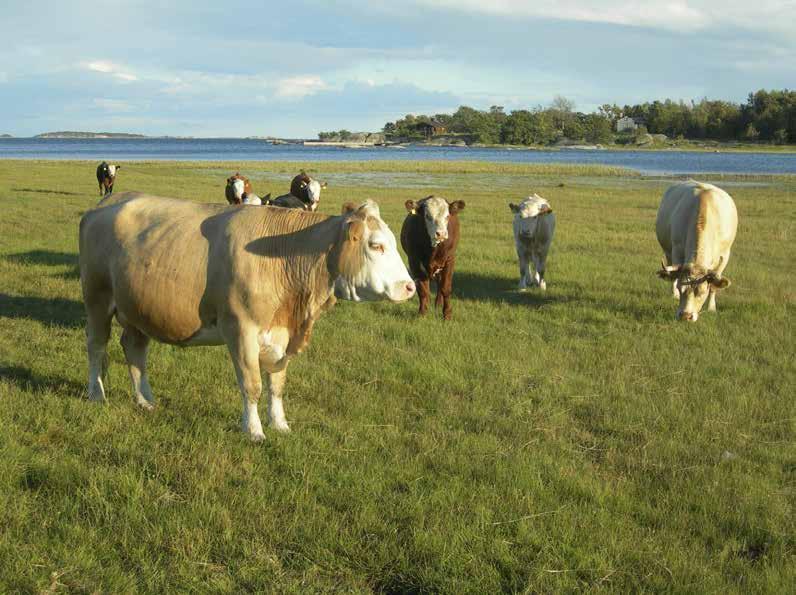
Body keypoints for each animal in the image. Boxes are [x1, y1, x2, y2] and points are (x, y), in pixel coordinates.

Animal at [78, 193, 416, 440]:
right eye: (376, 245)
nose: (409, 286)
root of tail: (105, 203)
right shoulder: (240, 329)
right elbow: (252, 384)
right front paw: (254, 430)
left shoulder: (281, 335)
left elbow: (276, 384)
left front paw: (280, 424)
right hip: (96, 297)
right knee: (96, 346)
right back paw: (97, 393)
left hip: (138, 307)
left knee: (134, 349)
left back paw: (144, 400)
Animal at [402, 194, 464, 322]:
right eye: (427, 216)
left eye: (447, 216)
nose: (441, 234)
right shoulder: (414, 261)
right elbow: (423, 290)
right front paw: (422, 313)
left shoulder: (450, 260)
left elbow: (446, 288)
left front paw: (447, 314)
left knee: (440, 283)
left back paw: (438, 303)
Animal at [656, 180, 736, 322]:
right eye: (681, 288)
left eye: (702, 292)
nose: (685, 316)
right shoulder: (676, 249)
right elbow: (675, 275)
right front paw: (676, 294)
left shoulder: (725, 255)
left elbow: (714, 285)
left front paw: (711, 308)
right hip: (668, 251)